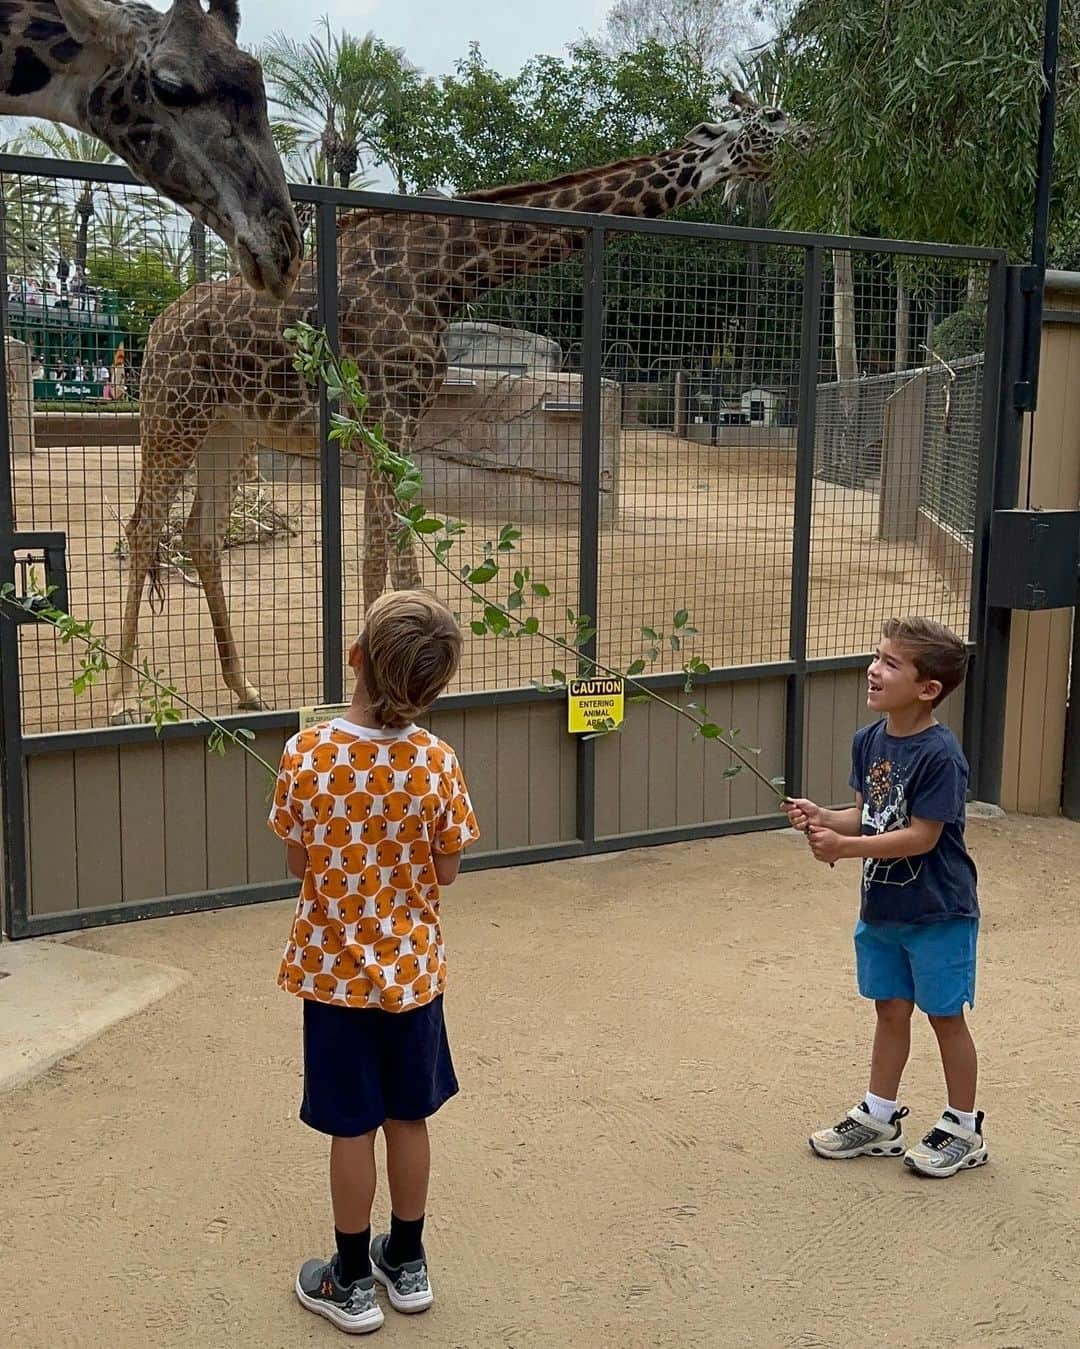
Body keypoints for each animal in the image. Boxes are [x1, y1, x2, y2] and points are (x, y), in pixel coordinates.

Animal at [111, 92, 798, 728]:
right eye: (761, 118)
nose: (800, 130)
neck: (443, 275)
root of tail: (156, 328)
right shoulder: (388, 417)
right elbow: (400, 567)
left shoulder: (394, 426)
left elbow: (376, 563)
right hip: (172, 412)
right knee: (143, 526)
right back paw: (122, 699)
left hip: (227, 429)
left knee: (201, 534)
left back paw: (245, 688)